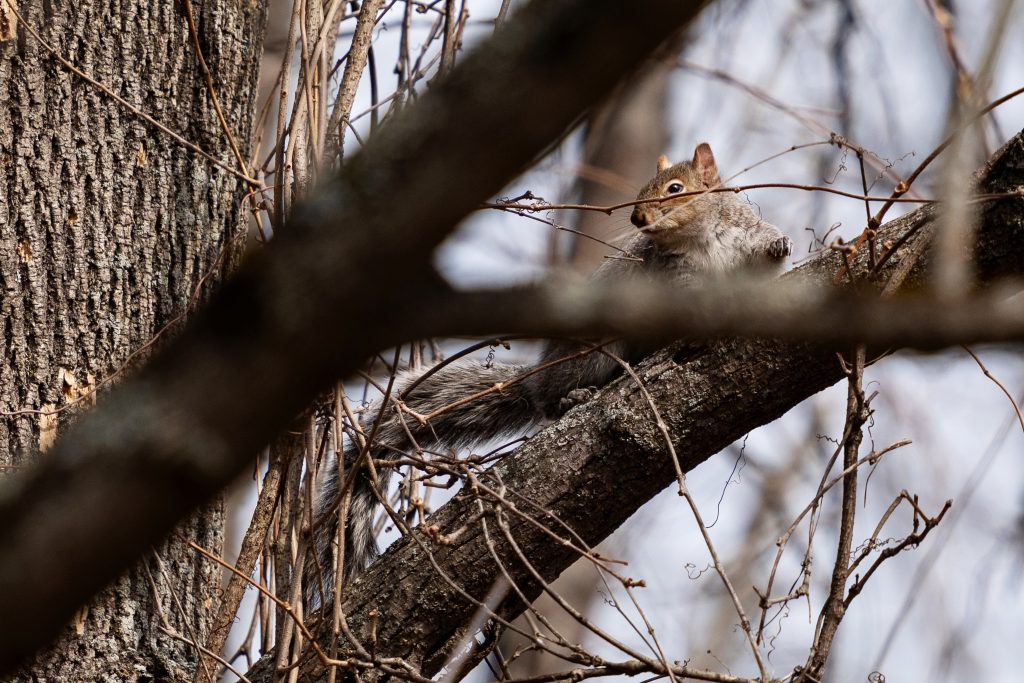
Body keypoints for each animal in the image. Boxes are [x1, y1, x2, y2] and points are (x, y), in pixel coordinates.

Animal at [306, 142, 792, 607]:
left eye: (675, 189)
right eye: (641, 188)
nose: (637, 217)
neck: (699, 238)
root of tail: (537, 376)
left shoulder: (742, 240)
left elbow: (764, 260)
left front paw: (780, 246)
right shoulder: (669, 277)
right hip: (593, 354)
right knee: (550, 401)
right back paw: (574, 398)